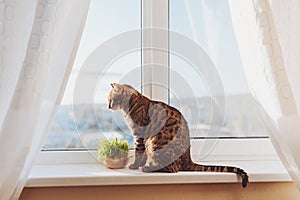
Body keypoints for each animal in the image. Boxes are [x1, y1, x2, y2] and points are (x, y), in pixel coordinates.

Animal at [108, 83, 248, 188]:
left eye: (110, 99)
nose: (108, 106)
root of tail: (188, 159)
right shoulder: (143, 137)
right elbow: (143, 154)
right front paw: (139, 163)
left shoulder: (140, 135)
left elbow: (138, 152)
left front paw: (136, 165)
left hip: (156, 142)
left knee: (172, 169)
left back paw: (148, 168)